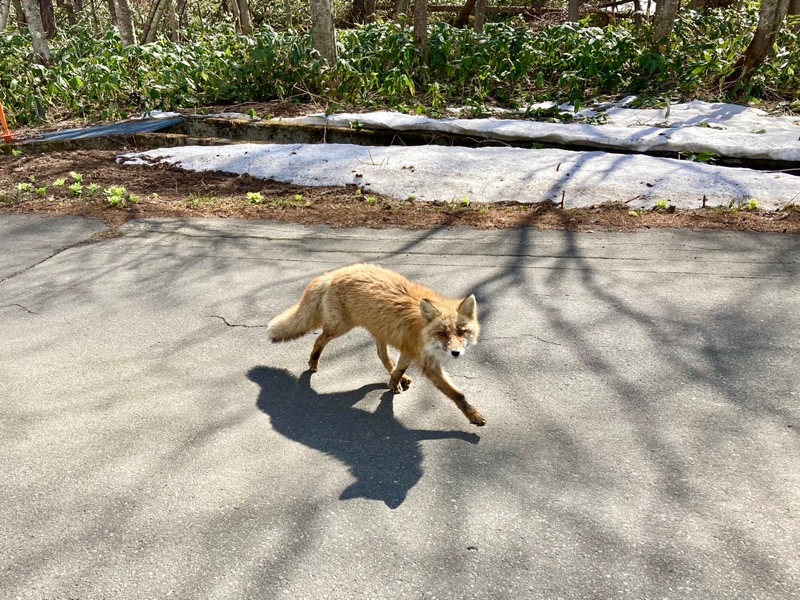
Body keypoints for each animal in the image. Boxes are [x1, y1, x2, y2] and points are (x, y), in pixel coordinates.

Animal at [266, 264, 484, 426]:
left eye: (461, 332)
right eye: (442, 334)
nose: (456, 353)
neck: (421, 328)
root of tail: (336, 272)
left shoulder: (410, 350)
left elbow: (398, 369)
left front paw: (394, 383)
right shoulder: (425, 361)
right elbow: (458, 394)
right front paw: (473, 415)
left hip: (380, 332)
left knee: (382, 355)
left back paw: (400, 379)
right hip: (339, 328)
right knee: (319, 339)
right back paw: (313, 361)